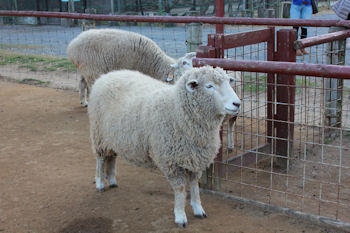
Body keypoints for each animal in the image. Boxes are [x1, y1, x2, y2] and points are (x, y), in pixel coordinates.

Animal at [67, 28, 196, 107]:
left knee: (81, 83)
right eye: (181, 74)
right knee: (89, 86)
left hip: (85, 69)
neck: (154, 64)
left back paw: (84, 102)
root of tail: (72, 46)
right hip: (91, 70)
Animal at [87, 66, 241, 228]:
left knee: (111, 158)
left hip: (113, 137)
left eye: (228, 82)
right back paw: (100, 182)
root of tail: (107, 75)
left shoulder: (195, 159)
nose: (237, 103)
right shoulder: (171, 161)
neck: (177, 111)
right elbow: (180, 189)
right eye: (209, 86)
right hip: (99, 135)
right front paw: (180, 216)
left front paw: (198, 208)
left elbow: (194, 185)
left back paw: (111, 180)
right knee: (100, 159)